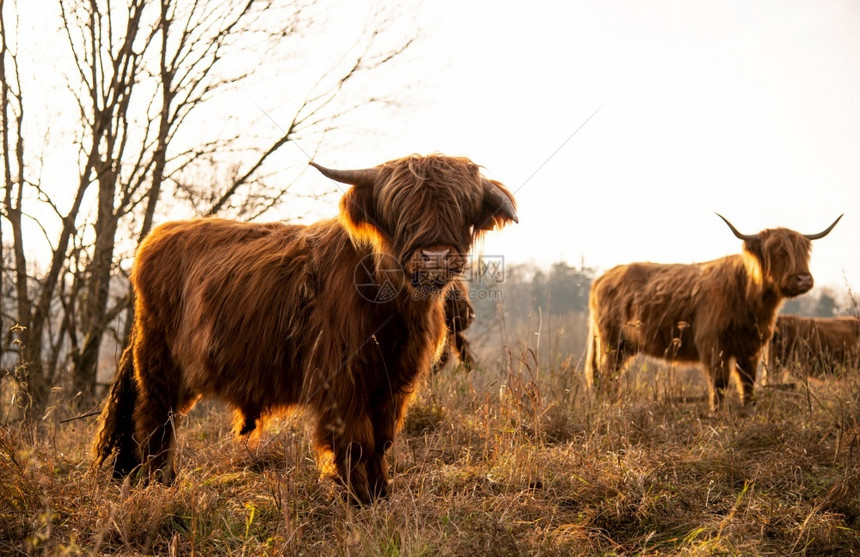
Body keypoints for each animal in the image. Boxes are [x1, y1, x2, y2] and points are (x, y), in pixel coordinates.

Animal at [92, 154, 516, 502]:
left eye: (462, 208)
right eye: (401, 211)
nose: (435, 258)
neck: (390, 307)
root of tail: (156, 236)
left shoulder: (392, 381)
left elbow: (381, 440)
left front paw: (381, 495)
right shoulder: (341, 378)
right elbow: (355, 441)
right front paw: (357, 499)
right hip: (158, 360)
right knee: (154, 419)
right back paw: (159, 483)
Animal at [584, 213, 840, 408]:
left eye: (805, 252)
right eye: (778, 251)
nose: (804, 279)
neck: (750, 299)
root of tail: (603, 278)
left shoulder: (751, 346)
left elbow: (747, 381)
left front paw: (749, 409)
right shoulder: (712, 343)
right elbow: (719, 382)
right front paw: (717, 413)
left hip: (624, 346)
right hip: (611, 343)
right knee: (607, 376)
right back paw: (609, 406)